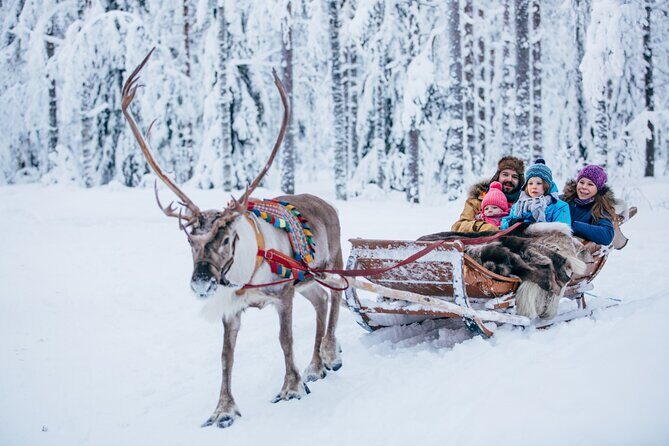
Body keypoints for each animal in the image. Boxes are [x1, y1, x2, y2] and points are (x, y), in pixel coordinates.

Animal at [121, 49, 344, 429]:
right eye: (190, 241)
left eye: (226, 238)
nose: (200, 282)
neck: (246, 275)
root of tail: (327, 203)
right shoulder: (231, 308)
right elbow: (226, 356)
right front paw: (223, 409)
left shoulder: (283, 294)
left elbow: (285, 340)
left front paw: (291, 387)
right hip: (307, 281)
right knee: (321, 301)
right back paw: (315, 366)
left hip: (332, 262)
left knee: (338, 297)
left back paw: (329, 354)